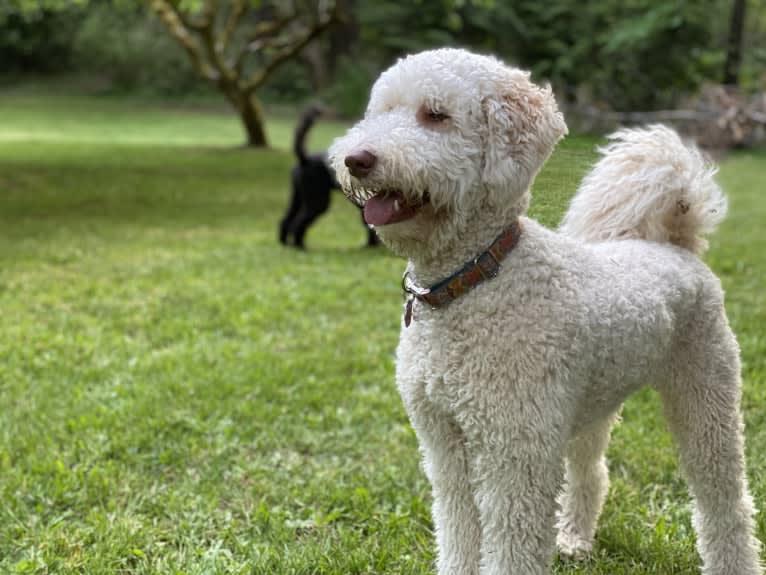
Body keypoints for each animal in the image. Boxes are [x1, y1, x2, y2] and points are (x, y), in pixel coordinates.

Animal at [280, 107, 380, 249]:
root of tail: (305, 160)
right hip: (317, 201)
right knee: (298, 223)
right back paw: (300, 246)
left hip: (298, 196)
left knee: (286, 220)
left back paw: (285, 244)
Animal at [328, 48, 760, 575]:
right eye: (382, 111)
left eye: (436, 115)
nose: (356, 159)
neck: (475, 279)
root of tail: (677, 246)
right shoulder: (445, 446)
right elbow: (457, 531)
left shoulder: (516, 456)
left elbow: (511, 547)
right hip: (589, 407)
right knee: (591, 471)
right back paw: (573, 539)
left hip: (705, 394)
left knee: (724, 498)